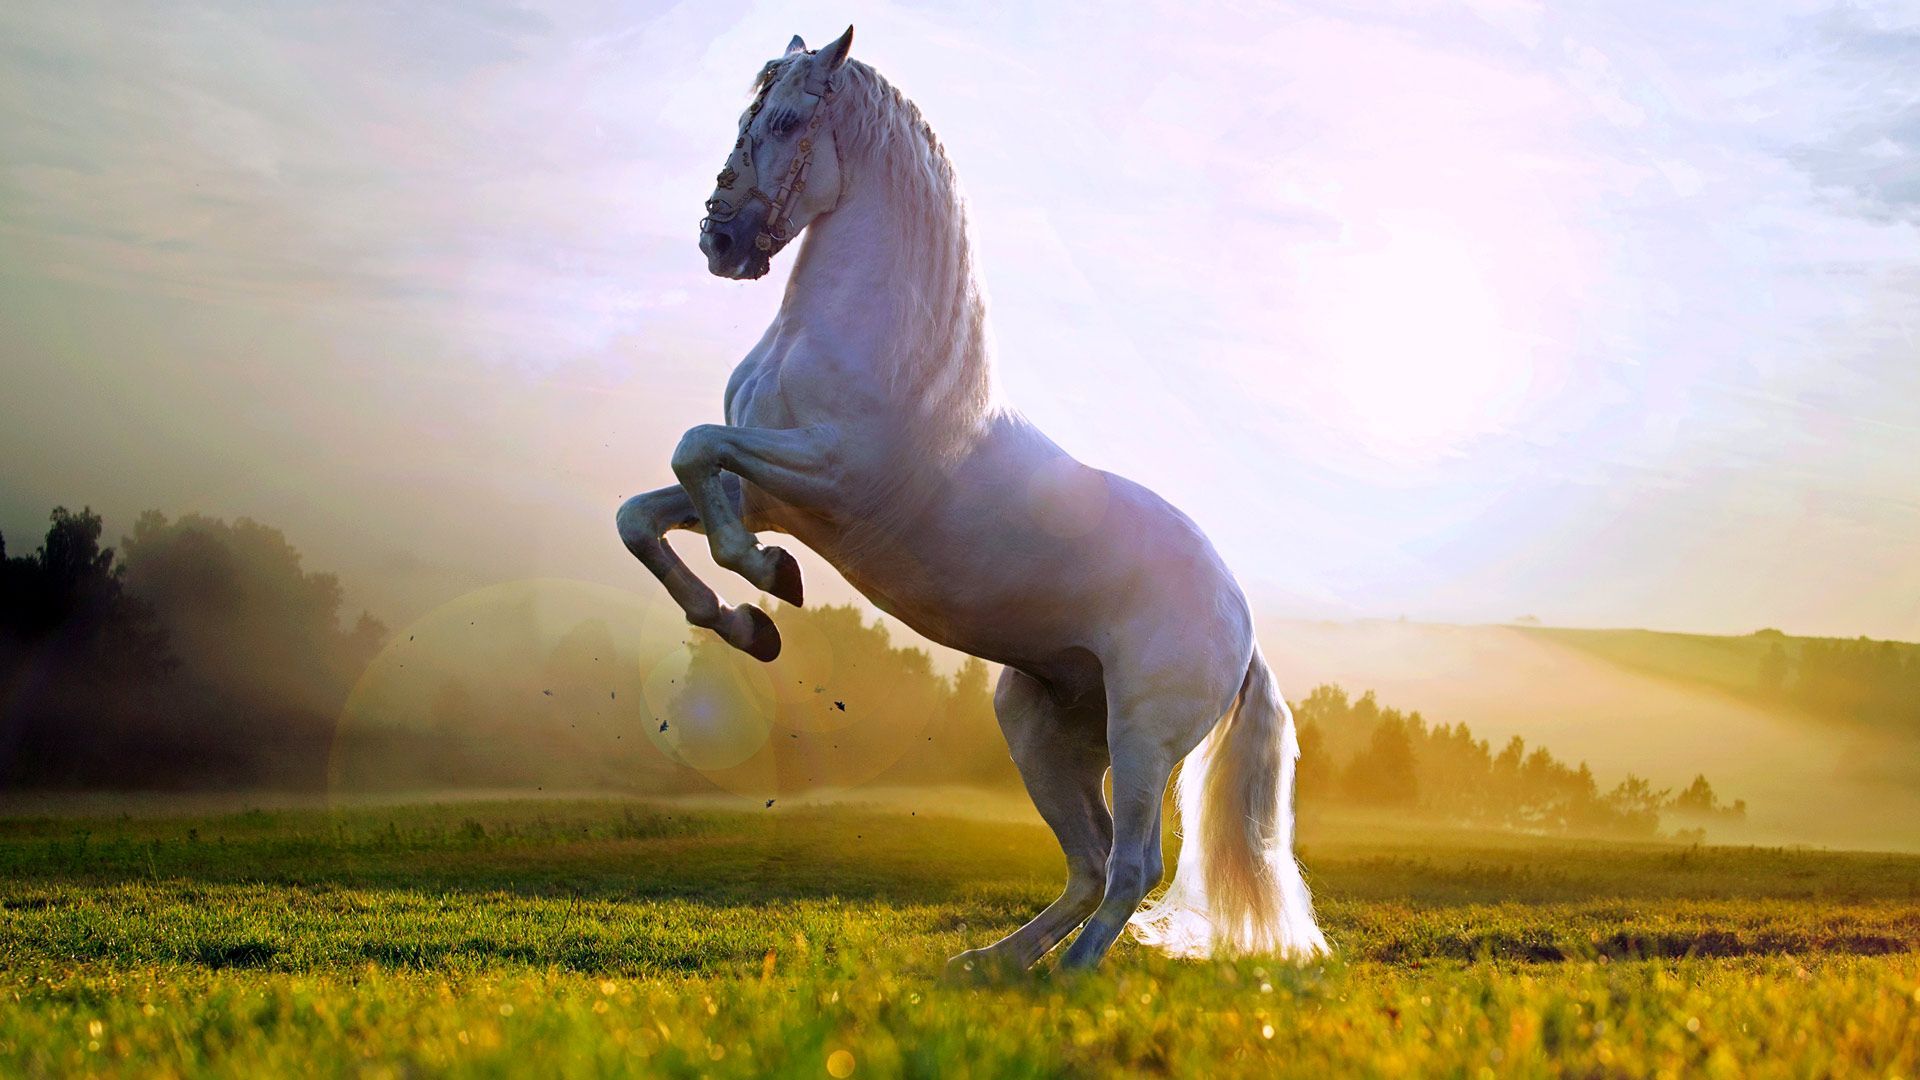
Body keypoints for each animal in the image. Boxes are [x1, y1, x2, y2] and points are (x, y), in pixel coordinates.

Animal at [617, 26, 1327, 972]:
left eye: (791, 119)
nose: (720, 239)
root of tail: (1240, 622)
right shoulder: (766, 492)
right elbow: (646, 512)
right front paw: (746, 623)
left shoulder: (826, 478)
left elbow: (696, 451)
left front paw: (769, 584)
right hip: (1040, 727)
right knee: (1090, 862)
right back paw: (991, 965)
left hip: (1142, 737)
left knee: (1133, 865)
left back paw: (1067, 979)